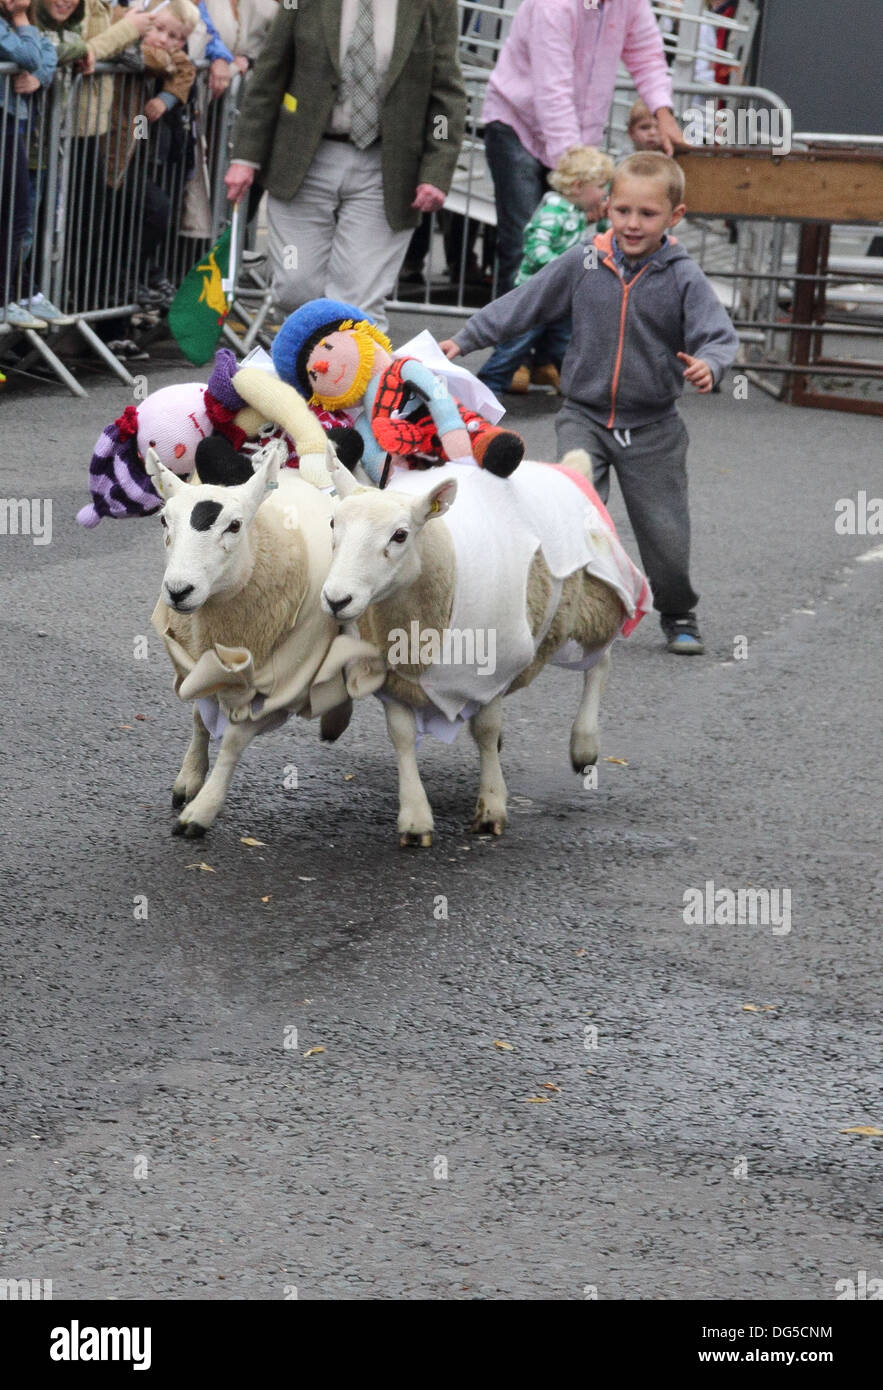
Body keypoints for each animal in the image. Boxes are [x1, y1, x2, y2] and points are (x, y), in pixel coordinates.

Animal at [146, 442, 386, 834]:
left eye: (234, 525)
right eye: (164, 520)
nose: (179, 591)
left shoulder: (282, 688)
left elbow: (233, 742)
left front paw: (202, 809)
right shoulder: (198, 660)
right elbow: (199, 717)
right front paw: (189, 779)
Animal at [321, 450, 653, 839]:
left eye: (400, 535)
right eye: (332, 523)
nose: (336, 600)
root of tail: (568, 466)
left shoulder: (494, 666)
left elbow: (485, 729)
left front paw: (492, 806)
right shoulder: (395, 677)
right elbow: (401, 736)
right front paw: (415, 817)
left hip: (597, 599)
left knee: (601, 662)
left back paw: (584, 744)